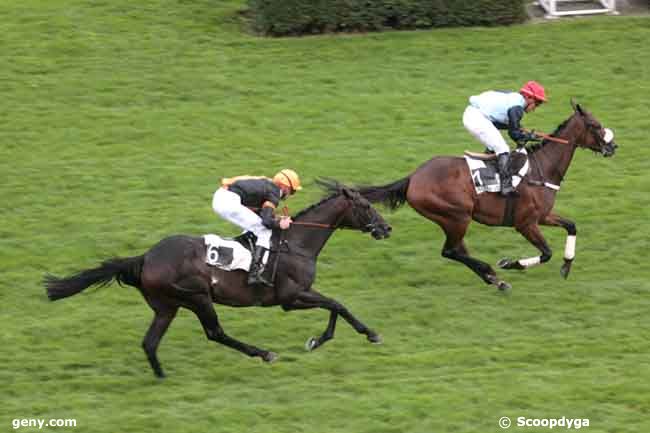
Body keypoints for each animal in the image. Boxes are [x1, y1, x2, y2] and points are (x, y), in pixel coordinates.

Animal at [46, 179, 390, 374]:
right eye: (365, 205)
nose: (386, 228)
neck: (297, 243)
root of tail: (145, 258)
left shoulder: (297, 296)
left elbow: (334, 306)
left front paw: (320, 339)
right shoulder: (291, 297)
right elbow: (337, 304)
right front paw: (365, 334)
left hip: (166, 306)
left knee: (150, 342)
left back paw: (161, 376)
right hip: (197, 297)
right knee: (215, 333)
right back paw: (263, 353)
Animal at [356, 101, 616, 290]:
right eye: (594, 125)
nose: (613, 147)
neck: (541, 168)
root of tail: (413, 177)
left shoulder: (543, 216)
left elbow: (571, 226)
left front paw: (567, 265)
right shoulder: (526, 223)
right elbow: (546, 253)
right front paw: (511, 263)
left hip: (452, 220)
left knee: (457, 251)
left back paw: (494, 279)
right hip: (457, 216)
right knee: (450, 251)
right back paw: (492, 273)